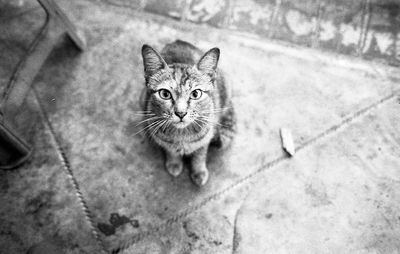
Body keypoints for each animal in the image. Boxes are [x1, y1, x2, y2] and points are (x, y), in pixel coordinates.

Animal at [140, 39, 234, 187]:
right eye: (165, 94)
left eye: (195, 94)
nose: (180, 113)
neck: (182, 135)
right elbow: (171, 150)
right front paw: (174, 162)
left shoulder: (205, 138)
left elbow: (200, 155)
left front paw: (199, 171)